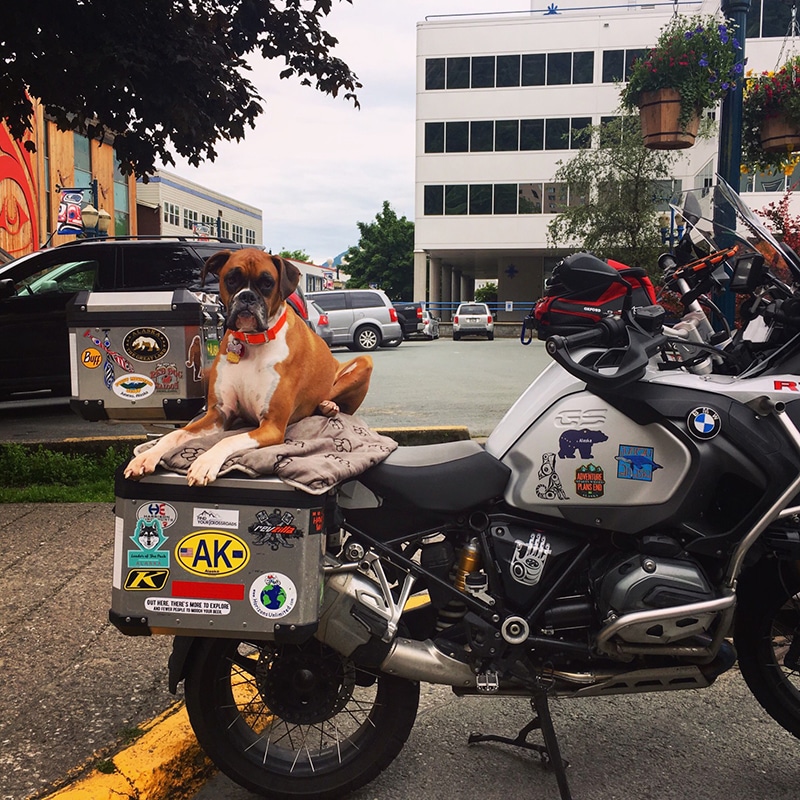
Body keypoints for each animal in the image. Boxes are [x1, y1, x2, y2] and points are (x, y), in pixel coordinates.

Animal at [125, 250, 376, 488]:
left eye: (267, 282)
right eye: (231, 279)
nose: (247, 296)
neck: (251, 343)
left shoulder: (272, 426)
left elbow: (228, 439)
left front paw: (205, 462)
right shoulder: (218, 414)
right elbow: (176, 434)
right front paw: (146, 457)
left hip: (364, 361)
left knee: (340, 400)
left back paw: (329, 406)